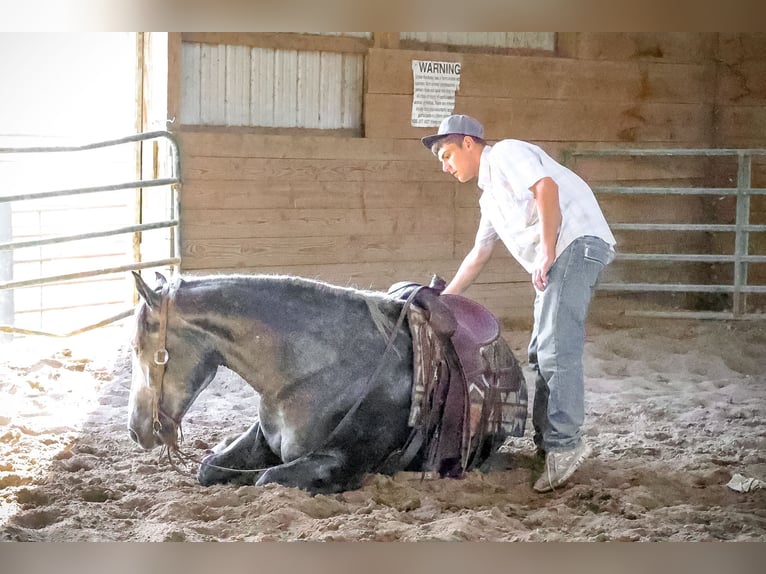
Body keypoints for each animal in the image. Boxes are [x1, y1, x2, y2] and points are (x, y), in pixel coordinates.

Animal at [127, 271, 527, 494]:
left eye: (139, 347)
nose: (135, 430)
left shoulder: (340, 463)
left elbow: (265, 480)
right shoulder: (262, 440)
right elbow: (208, 467)